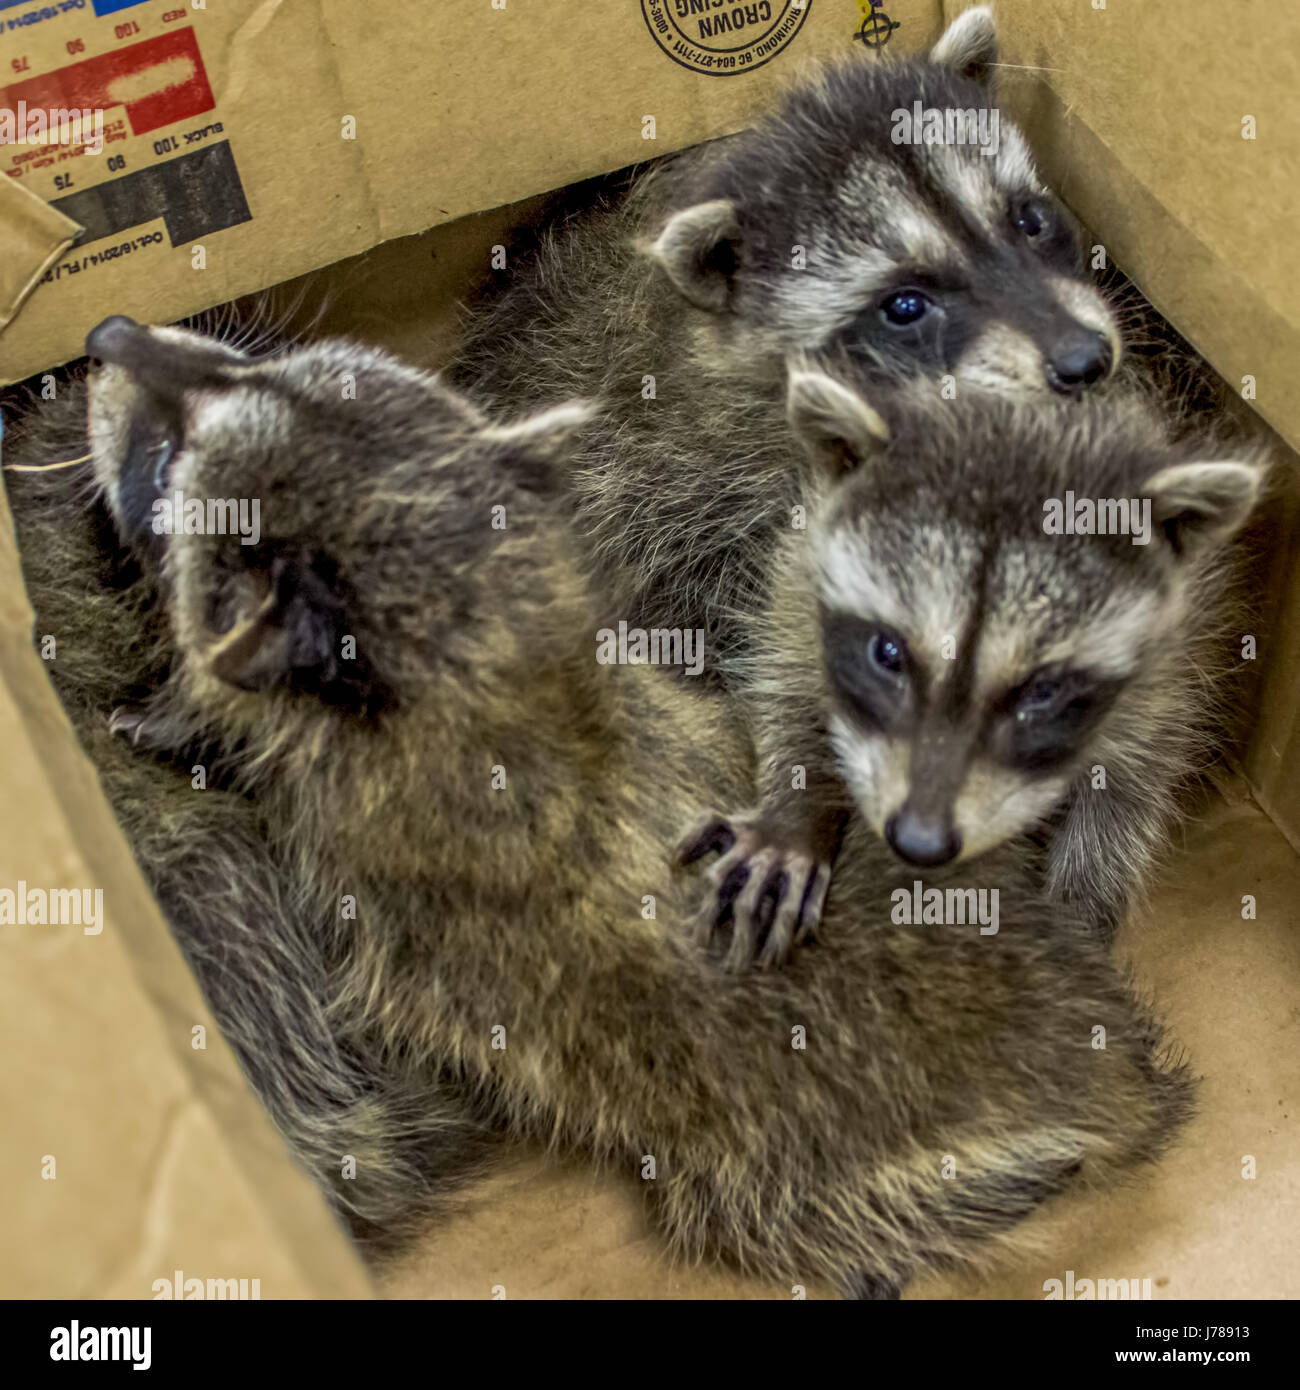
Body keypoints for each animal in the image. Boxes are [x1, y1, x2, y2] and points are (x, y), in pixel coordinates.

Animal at [77, 315, 1193, 1297]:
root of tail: (1114, 1066)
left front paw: (182, 720)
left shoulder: (373, 896)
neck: (475, 662)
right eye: (260, 369)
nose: (109, 334)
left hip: (802, 1170)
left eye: (170, 460)